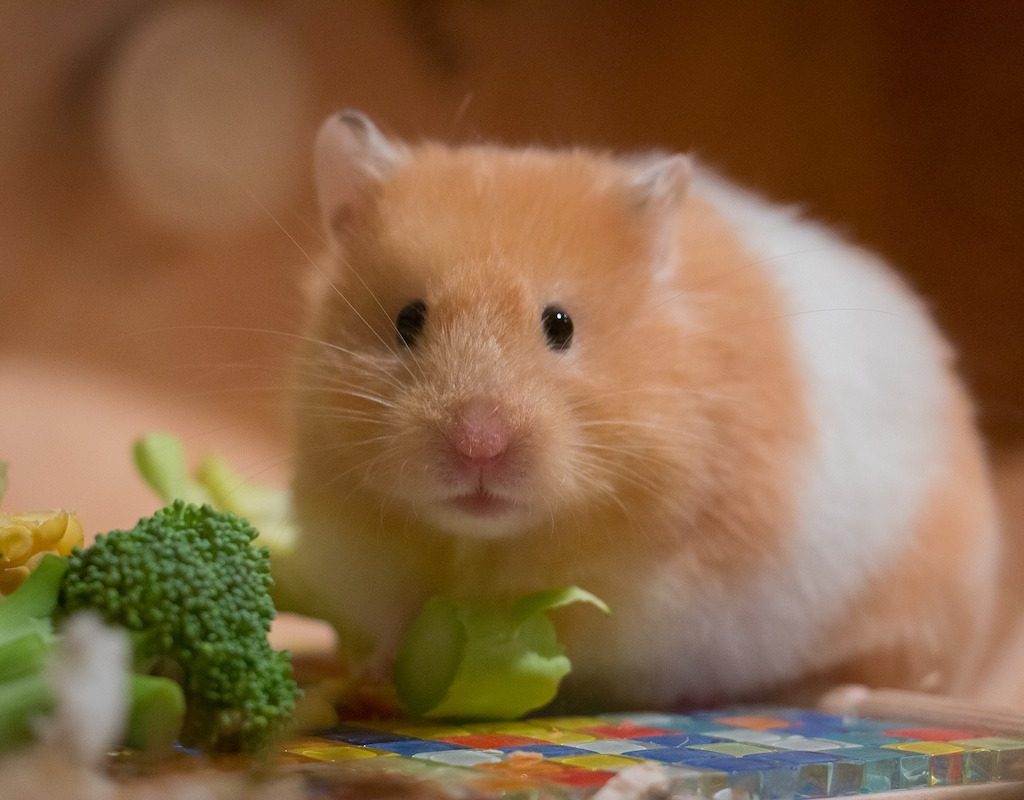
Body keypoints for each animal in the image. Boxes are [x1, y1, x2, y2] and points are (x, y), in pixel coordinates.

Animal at [278, 110, 1000, 710]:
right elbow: (398, 620)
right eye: (408, 320)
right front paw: (379, 673)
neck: (486, 543)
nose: (479, 446)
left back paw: (836, 693)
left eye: (560, 325)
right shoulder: (366, 555)